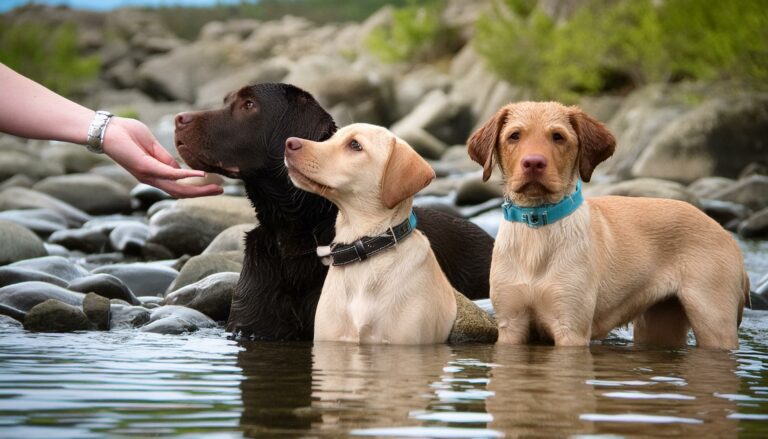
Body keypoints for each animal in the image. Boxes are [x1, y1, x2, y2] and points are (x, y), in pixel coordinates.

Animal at [468, 101, 752, 348]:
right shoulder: (511, 324)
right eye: (514, 136)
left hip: (714, 320)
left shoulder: (571, 328)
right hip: (659, 323)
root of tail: (727, 235)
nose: (534, 163)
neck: (537, 226)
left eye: (558, 137)